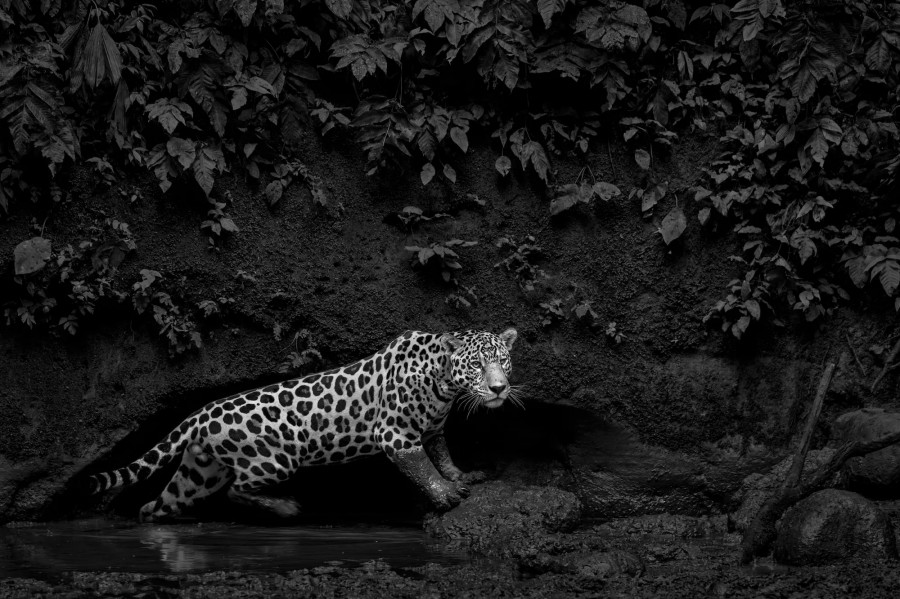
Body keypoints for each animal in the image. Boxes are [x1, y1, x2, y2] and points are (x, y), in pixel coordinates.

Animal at [87, 328, 519, 521]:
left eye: (503, 360)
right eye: (477, 365)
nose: (499, 388)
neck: (443, 380)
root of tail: (200, 413)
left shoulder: (431, 429)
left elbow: (441, 454)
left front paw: (461, 475)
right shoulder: (396, 435)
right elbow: (422, 468)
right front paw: (445, 495)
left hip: (197, 475)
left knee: (157, 504)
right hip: (275, 460)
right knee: (236, 490)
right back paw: (286, 507)